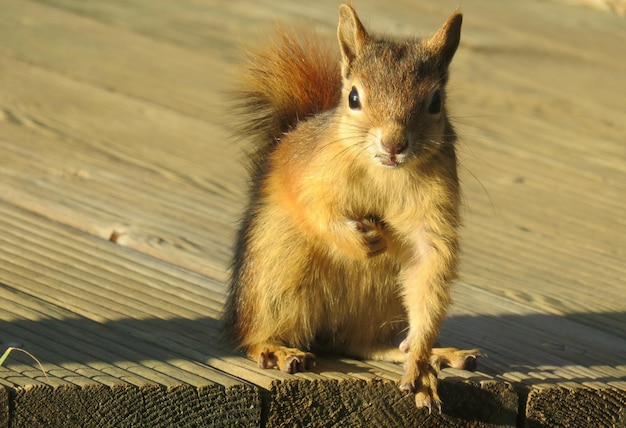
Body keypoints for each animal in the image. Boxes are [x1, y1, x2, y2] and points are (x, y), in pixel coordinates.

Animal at [222, 2, 480, 412]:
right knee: (254, 334)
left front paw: (422, 362)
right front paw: (359, 242)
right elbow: (315, 209)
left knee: (359, 343)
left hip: (380, 303)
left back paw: (425, 353)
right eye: (354, 98)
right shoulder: (310, 175)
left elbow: (430, 260)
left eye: (436, 102)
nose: (394, 144)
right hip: (278, 278)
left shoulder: (435, 213)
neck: (384, 175)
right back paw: (275, 348)